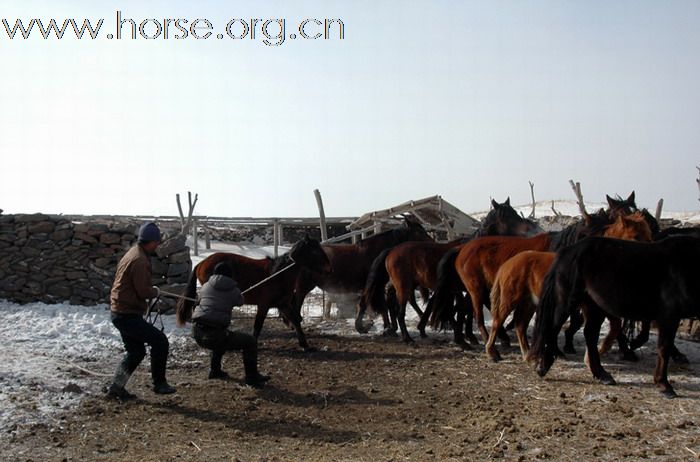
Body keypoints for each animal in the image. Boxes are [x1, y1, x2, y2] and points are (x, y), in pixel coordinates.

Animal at [174, 236, 330, 352]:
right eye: (315, 251)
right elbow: (258, 325)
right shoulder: (264, 305)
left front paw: (305, 344)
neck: (277, 275)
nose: (328, 268)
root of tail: (201, 263)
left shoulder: (283, 304)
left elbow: (296, 320)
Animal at [484, 213, 652, 360]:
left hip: (529, 302)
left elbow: (615, 326)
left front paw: (602, 350)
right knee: (498, 321)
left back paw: (527, 354)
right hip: (510, 299)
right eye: (635, 236)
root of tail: (507, 264)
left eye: (648, 235)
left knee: (520, 325)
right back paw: (492, 352)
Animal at [532, 236, 700, 398]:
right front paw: (664, 385)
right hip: (568, 301)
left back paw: (601, 374)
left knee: (589, 335)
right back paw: (544, 366)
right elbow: (664, 348)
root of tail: (567, 252)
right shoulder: (669, 316)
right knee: (553, 330)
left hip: (593, 306)